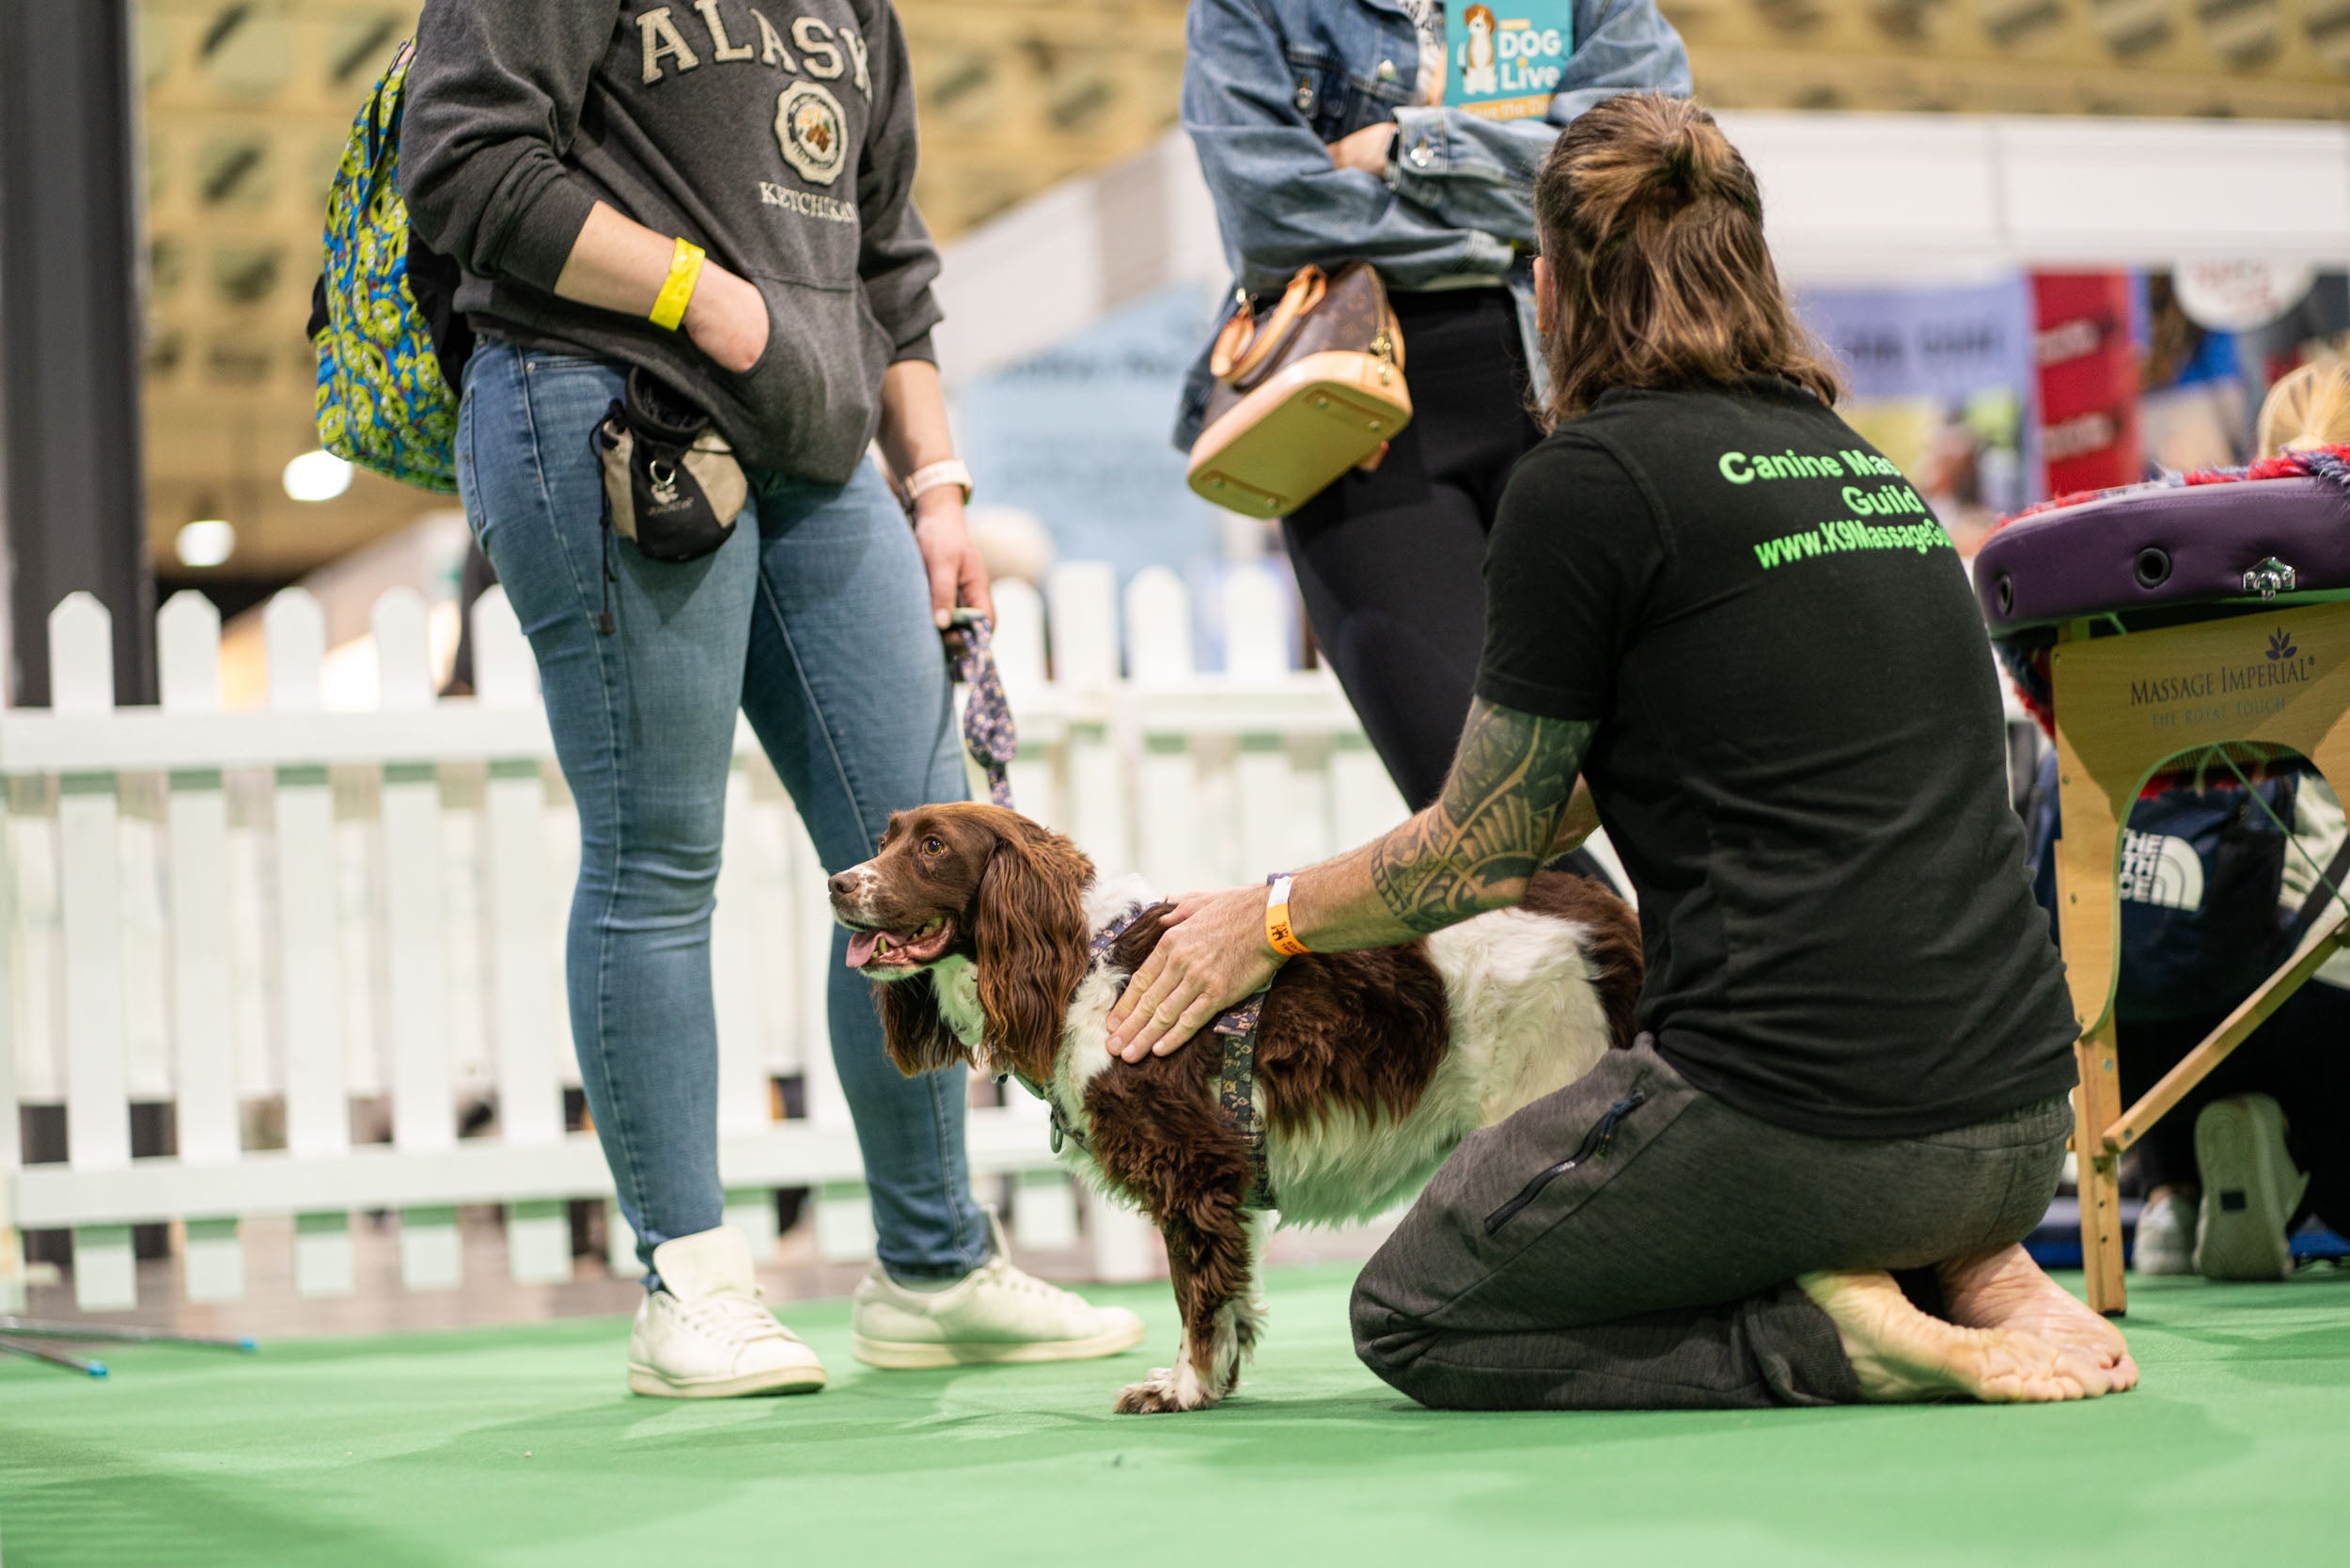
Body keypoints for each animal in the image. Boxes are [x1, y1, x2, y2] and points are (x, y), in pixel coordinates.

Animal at [827, 804, 1636, 1419]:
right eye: (886, 839)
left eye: (933, 847)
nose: (836, 883)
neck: (1081, 966)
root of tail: (1607, 919)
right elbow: (1229, 1290)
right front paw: (1210, 1382)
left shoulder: (1192, 1168)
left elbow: (1196, 1295)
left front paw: (1185, 1388)